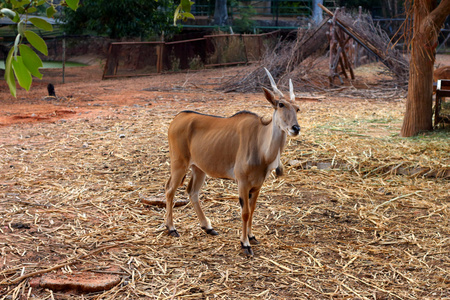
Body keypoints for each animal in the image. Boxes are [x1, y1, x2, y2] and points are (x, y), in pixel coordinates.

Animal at [163, 68, 300, 255]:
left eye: (297, 108)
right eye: (281, 104)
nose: (295, 128)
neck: (261, 146)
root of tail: (178, 118)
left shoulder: (257, 185)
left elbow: (252, 210)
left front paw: (251, 236)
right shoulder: (242, 182)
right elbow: (245, 212)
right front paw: (245, 243)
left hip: (199, 169)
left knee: (192, 192)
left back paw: (208, 227)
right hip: (179, 164)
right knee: (170, 190)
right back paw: (171, 228)